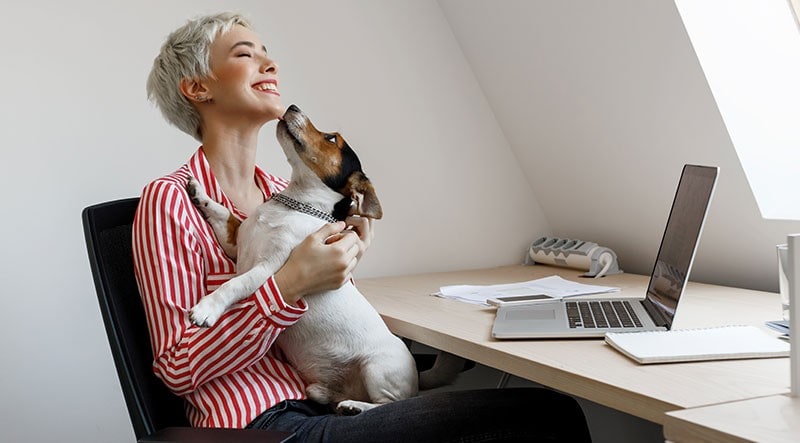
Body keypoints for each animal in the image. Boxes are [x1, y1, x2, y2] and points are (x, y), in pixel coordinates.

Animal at [185, 105, 460, 416]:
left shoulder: (268, 267)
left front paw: (207, 309)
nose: (292, 106)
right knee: (337, 397)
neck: (295, 205)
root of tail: (416, 377)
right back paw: (324, 393)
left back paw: (355, 406)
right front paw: (199, 192)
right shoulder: (236, 242)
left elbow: (233, 285)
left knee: (390, 402)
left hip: (377, 369)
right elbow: (223, 213)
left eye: (331, 139)